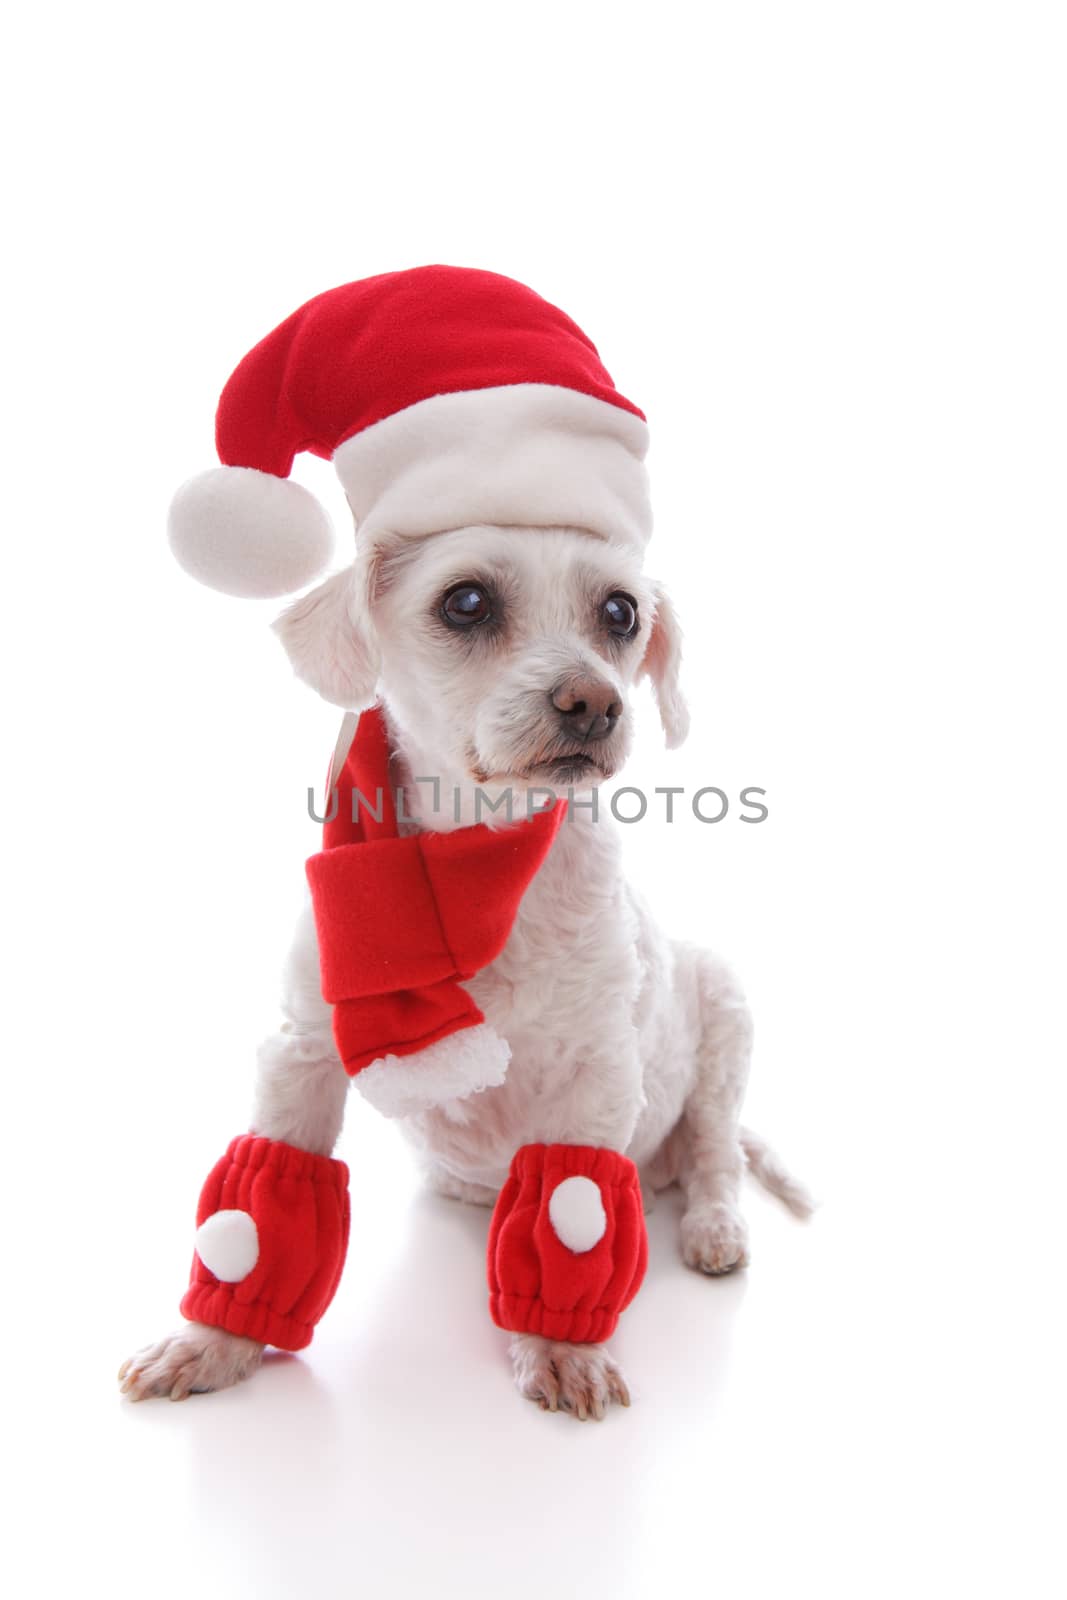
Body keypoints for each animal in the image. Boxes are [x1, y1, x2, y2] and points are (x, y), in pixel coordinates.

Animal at [119, 518, 809, 1420]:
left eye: (621, 612)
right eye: (467, 601)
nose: (595, 703)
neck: (476, 858)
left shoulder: (597, 1074)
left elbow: (574, 1205)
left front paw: (559, 1344)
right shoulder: (302, 1055)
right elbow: (260, 1205)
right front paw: (213, 1341)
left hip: (723, 1013)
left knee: (714, 1153)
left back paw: (711, 1225)